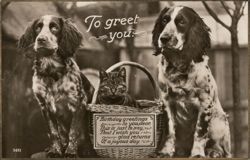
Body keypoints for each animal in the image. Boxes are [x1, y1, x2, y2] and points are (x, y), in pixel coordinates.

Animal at [18, 15, 94, 158]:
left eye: (54, 27)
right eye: (37, 28)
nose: (40, 39)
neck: (51, 71)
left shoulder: (79, 103)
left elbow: (74, 131)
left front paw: (71, 152)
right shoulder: (44, 106)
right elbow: (53, 132)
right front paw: (55, 150)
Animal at [151, 5, 231, 158]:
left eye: (182, 22)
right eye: (164, 20)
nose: (163, 38)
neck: (179, 65)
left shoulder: (205, 102)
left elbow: (200, 132)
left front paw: (198, 153)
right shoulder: (167, 100)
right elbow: (170, 130)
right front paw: (166, 151)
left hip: (218, 122)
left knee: (223, 149)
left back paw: (214, 152)